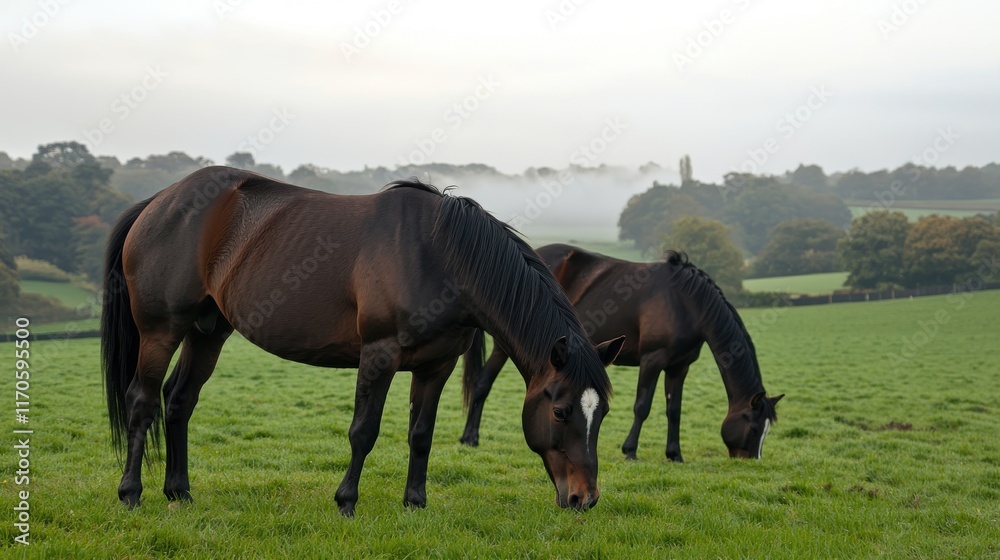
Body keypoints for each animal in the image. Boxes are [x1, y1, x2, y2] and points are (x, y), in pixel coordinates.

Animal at [101, 168, 624, 515]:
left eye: (601, 414)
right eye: (561, 412)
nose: (584, 499)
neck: (441, 256)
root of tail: (158, 201)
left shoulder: (436, 366)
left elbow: (421, 434)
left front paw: (415, 503)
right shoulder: (379, 355)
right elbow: (363, 431)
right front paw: (346, 501)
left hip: (207, 331)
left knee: (179, 400)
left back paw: (179, 491)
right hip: (162, 330)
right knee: (142, 401)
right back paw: (131, 494)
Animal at [460, 244, 782, 462]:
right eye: (754, 429)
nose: (750, 461)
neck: (687, 303)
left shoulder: (679, 367)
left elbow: (674, 410)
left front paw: (674, 454)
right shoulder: (652, 360)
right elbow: (643, 406)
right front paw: (630, 451)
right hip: (508, 343)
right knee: (482, 382)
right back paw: (469, 437)